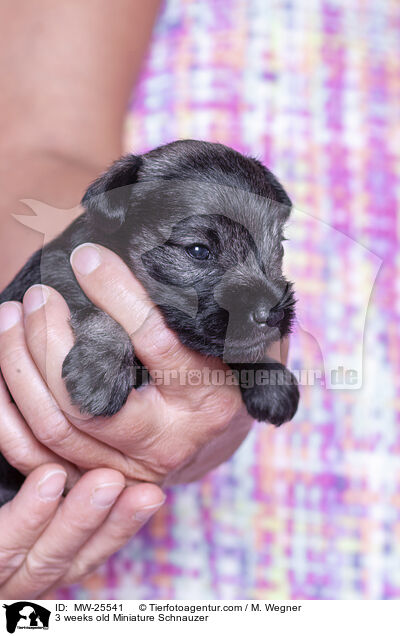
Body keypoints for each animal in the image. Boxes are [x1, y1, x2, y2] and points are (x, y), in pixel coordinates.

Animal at [0, 138, 300, 502]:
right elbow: (95, 311)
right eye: (198, 251)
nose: (273, 312)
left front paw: (270, 378)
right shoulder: (49, 281)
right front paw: (101, 373)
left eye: (278, 247)